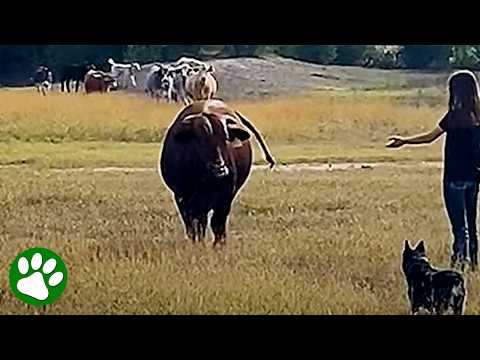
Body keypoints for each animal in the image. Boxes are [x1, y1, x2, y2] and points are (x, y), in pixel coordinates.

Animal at [160, 100, 276, 248]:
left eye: (225, 138)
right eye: (199, 139)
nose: (219, 170)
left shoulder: (225, 197)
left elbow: (217, 223)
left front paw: (219, 244)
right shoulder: (182, 196)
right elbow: (195, 224)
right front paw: (198, 243)